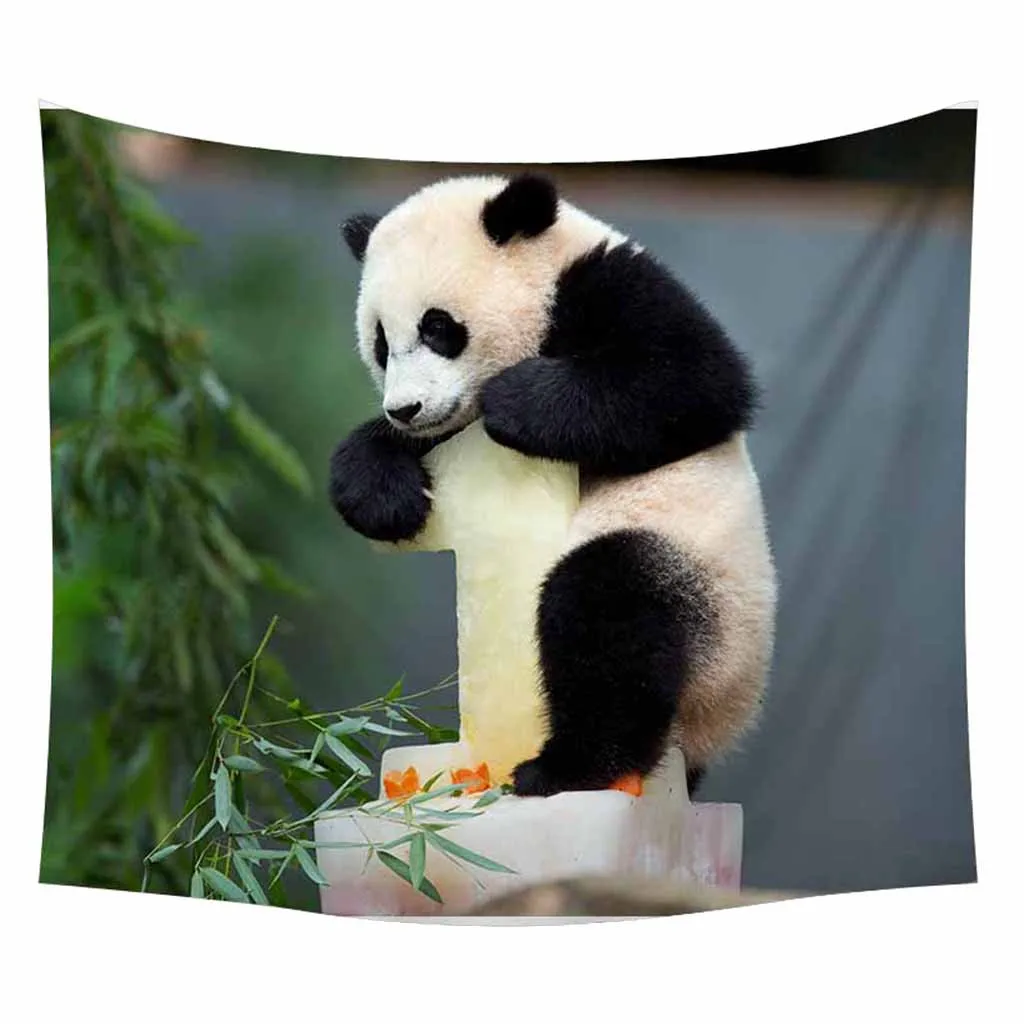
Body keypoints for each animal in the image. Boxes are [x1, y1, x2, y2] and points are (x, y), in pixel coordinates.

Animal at [329, 173, 777, 800]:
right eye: (380, 344)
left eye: (437, 328)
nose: (406, 408)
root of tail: (716, 733)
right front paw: (385, 496)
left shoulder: (614, 289)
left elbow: (694, 380)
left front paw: (515, 401)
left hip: (714, 604)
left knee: (608, 613)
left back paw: (568, 766)